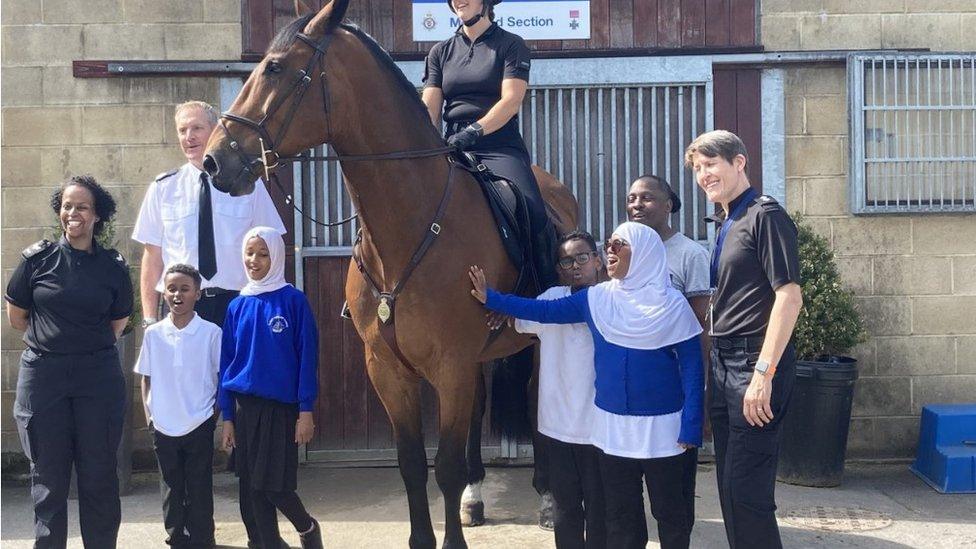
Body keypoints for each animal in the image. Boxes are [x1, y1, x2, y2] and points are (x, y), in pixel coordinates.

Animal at [201, 2, 576, 544]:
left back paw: (548, 500)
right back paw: (476, 498)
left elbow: (445, 468)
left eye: (274, 68)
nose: (213, 161)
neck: (411, 224)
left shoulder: (450, 365)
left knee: (535, 405)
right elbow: (412, 464)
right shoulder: (388, 368)